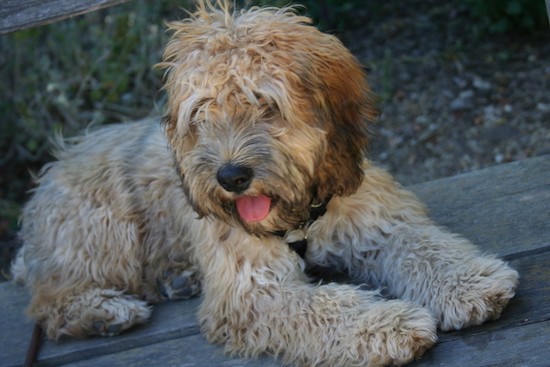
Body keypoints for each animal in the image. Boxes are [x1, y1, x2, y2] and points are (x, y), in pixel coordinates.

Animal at [12, 1, 520, 366]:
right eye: (201, 113)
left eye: (265, 104)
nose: (231, 177)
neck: (297, 217)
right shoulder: (252, 290)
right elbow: (323, 307)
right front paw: (388, 325)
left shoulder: (372, 220)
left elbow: (422, 246)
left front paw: (470, 283)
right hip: (101, 229)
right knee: (49, 301)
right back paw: (105, 313)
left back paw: (177, 280)